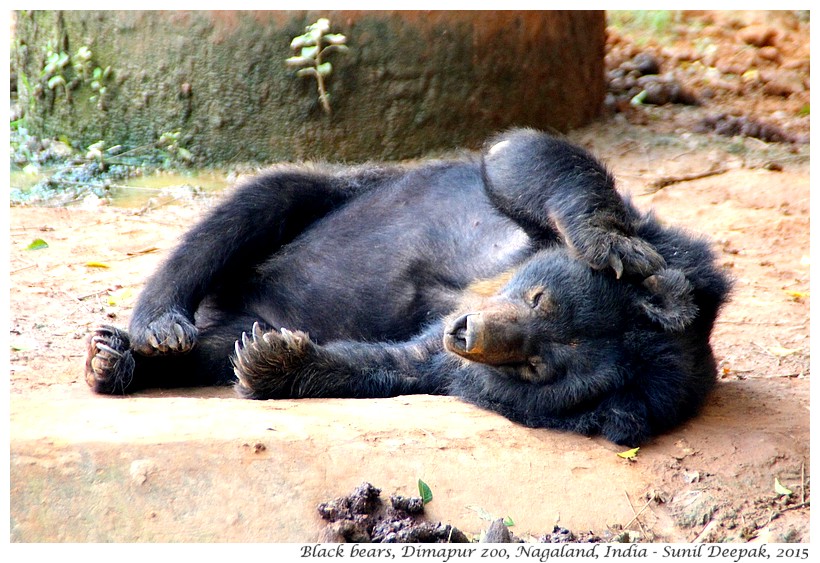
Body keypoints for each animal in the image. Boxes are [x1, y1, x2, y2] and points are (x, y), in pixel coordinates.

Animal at [85, 128, 732, 446]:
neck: (486, 289)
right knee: (260, 201)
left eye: (537, 366)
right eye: (539, 296)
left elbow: (398, 364)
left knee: (218, 346)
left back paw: (126, 360)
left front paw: (273, 360)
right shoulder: (532, 231)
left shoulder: (449, 363)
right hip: (334, 195)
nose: (468, 332)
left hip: (255, 307)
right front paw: (612, 247)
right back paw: (153, 330)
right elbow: (527, 160)